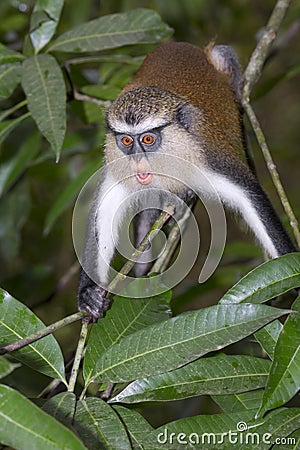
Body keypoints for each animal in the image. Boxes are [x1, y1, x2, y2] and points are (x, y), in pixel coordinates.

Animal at [77, 41, 296, 320]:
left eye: (147, 139)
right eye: (126, 141)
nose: (137, 161)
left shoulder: (208, 160)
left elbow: (251, 197)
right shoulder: (117, 169)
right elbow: (103, 211)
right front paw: (89, 293)